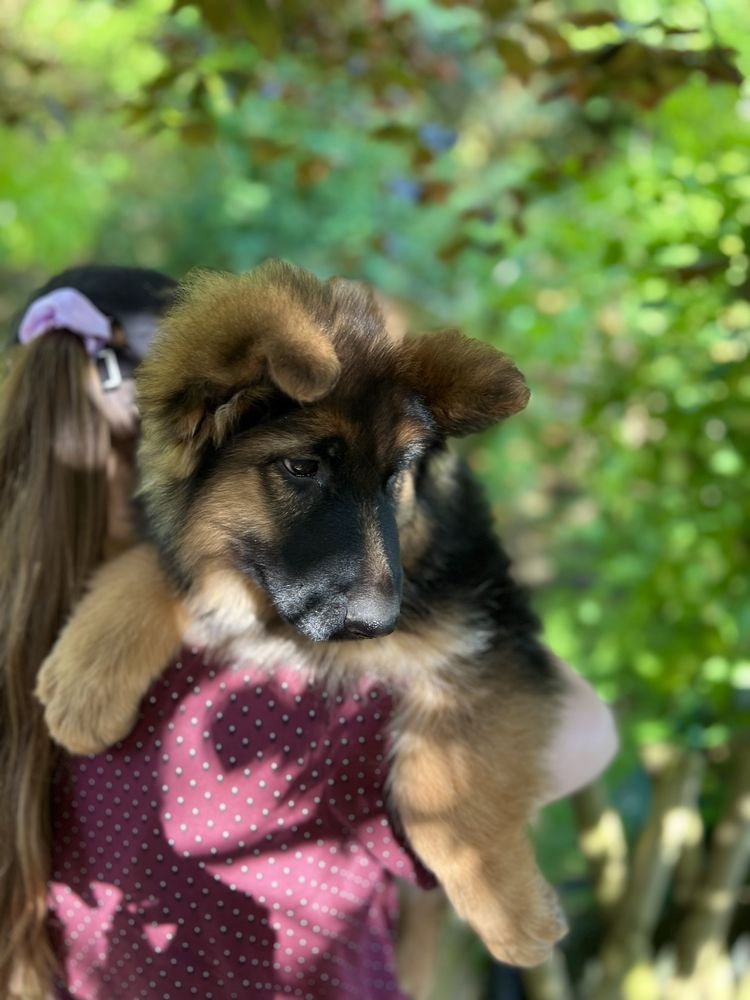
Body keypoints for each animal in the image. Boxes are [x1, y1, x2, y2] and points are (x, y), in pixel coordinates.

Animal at [36, 260, 568, 968]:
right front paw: (87, 678)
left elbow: (442, 787)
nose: (379, 624)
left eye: (394, 477)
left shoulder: (488, 629)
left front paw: (507, 908)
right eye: (301, 466)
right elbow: (153, 562)